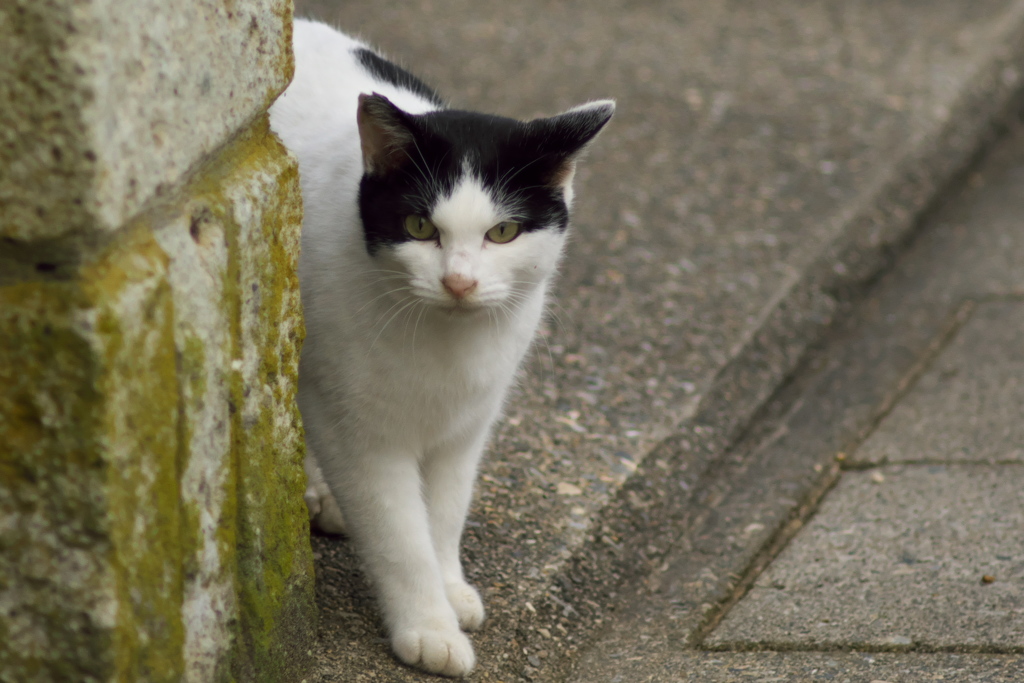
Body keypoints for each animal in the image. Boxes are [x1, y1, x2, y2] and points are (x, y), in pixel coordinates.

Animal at [268, 18, 610, 675]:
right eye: (420, 228)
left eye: (503, 232)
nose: (459, 281)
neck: (448, 342)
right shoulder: (363, 437)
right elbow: (401, 538)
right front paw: (429, 627)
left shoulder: (468, 425)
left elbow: (446, 512)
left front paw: (450, 588)